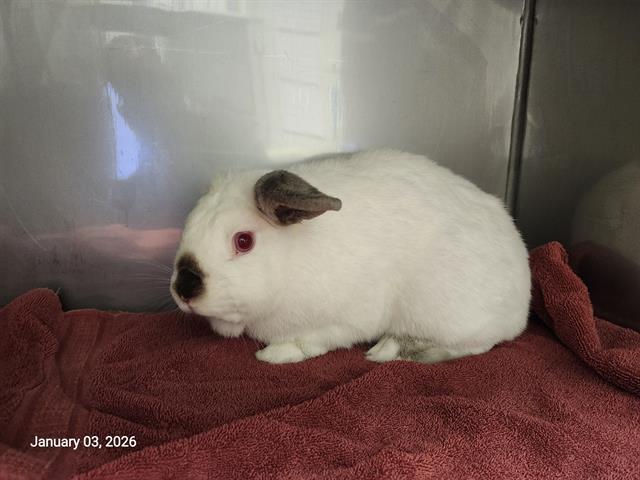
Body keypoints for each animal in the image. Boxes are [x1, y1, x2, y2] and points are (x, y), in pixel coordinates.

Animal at [170, 150, 531, 364]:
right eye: (189, 222)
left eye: (244, 241)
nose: (184, 288)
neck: (290, 261)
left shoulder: (341, 322)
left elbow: (310, 342)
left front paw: (273, 355)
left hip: (446, 316)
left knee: (475, 344)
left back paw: (390, 350)